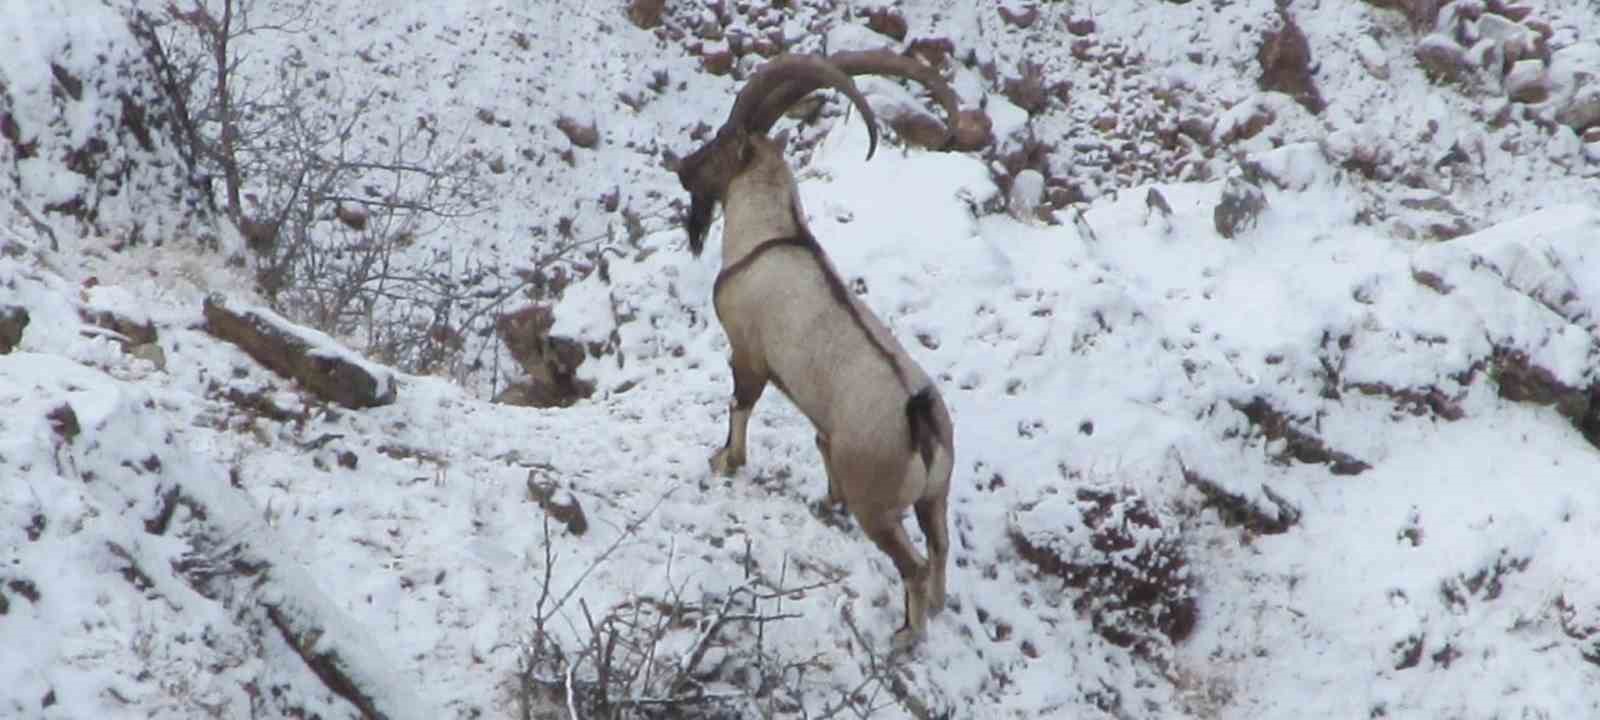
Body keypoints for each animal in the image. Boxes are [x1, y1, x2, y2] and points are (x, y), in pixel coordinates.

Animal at [678, 50, 960, 646]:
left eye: (719, 141)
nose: (681, 168)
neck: (769, 238)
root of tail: (919, 420)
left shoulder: (748, 353)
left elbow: (739, 404)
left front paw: (725, 461)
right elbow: (819, 440)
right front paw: (824, 497)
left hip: (878, 507)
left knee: (912, 564)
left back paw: (907, 634)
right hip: (934, 497)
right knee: (941, 546)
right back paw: (938, 606)